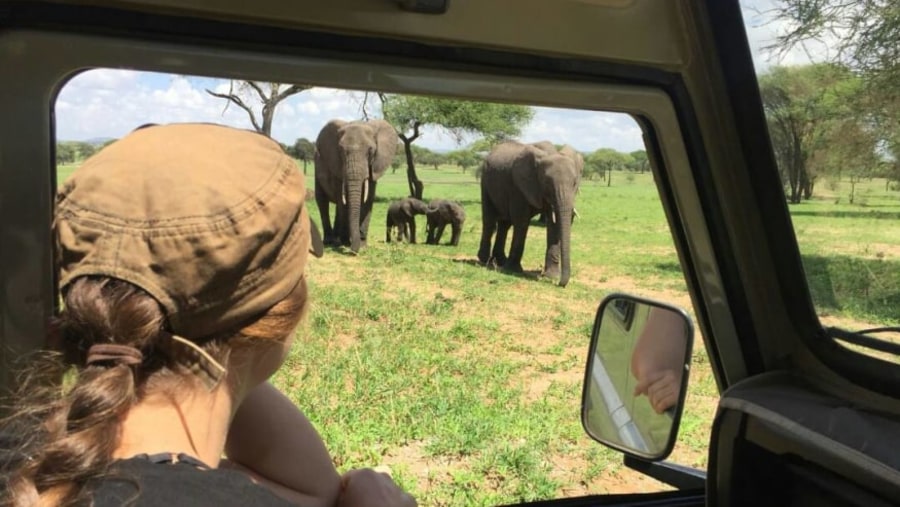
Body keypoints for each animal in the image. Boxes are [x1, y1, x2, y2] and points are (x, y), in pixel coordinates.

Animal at [318, 119, 400, 254]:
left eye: (371, 151)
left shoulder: (374, 167)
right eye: (341, 151)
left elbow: (368, 200)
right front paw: (347, 243)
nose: (353, 251)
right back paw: (330, 241)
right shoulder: (337, 167)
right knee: (322, 202)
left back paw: (337, 240)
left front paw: (362, 245)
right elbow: (343, 203)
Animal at [478, 141, 584, 288]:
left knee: (505, 224)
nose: (560, 284)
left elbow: (554, 225)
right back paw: (484, 260)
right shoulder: (519, 186)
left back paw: (500, 261)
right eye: (547, 183)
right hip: (485, 182)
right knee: (489, 220)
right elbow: (522, 221)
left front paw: (551, 276)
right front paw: (513, 271)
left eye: (575, 183)